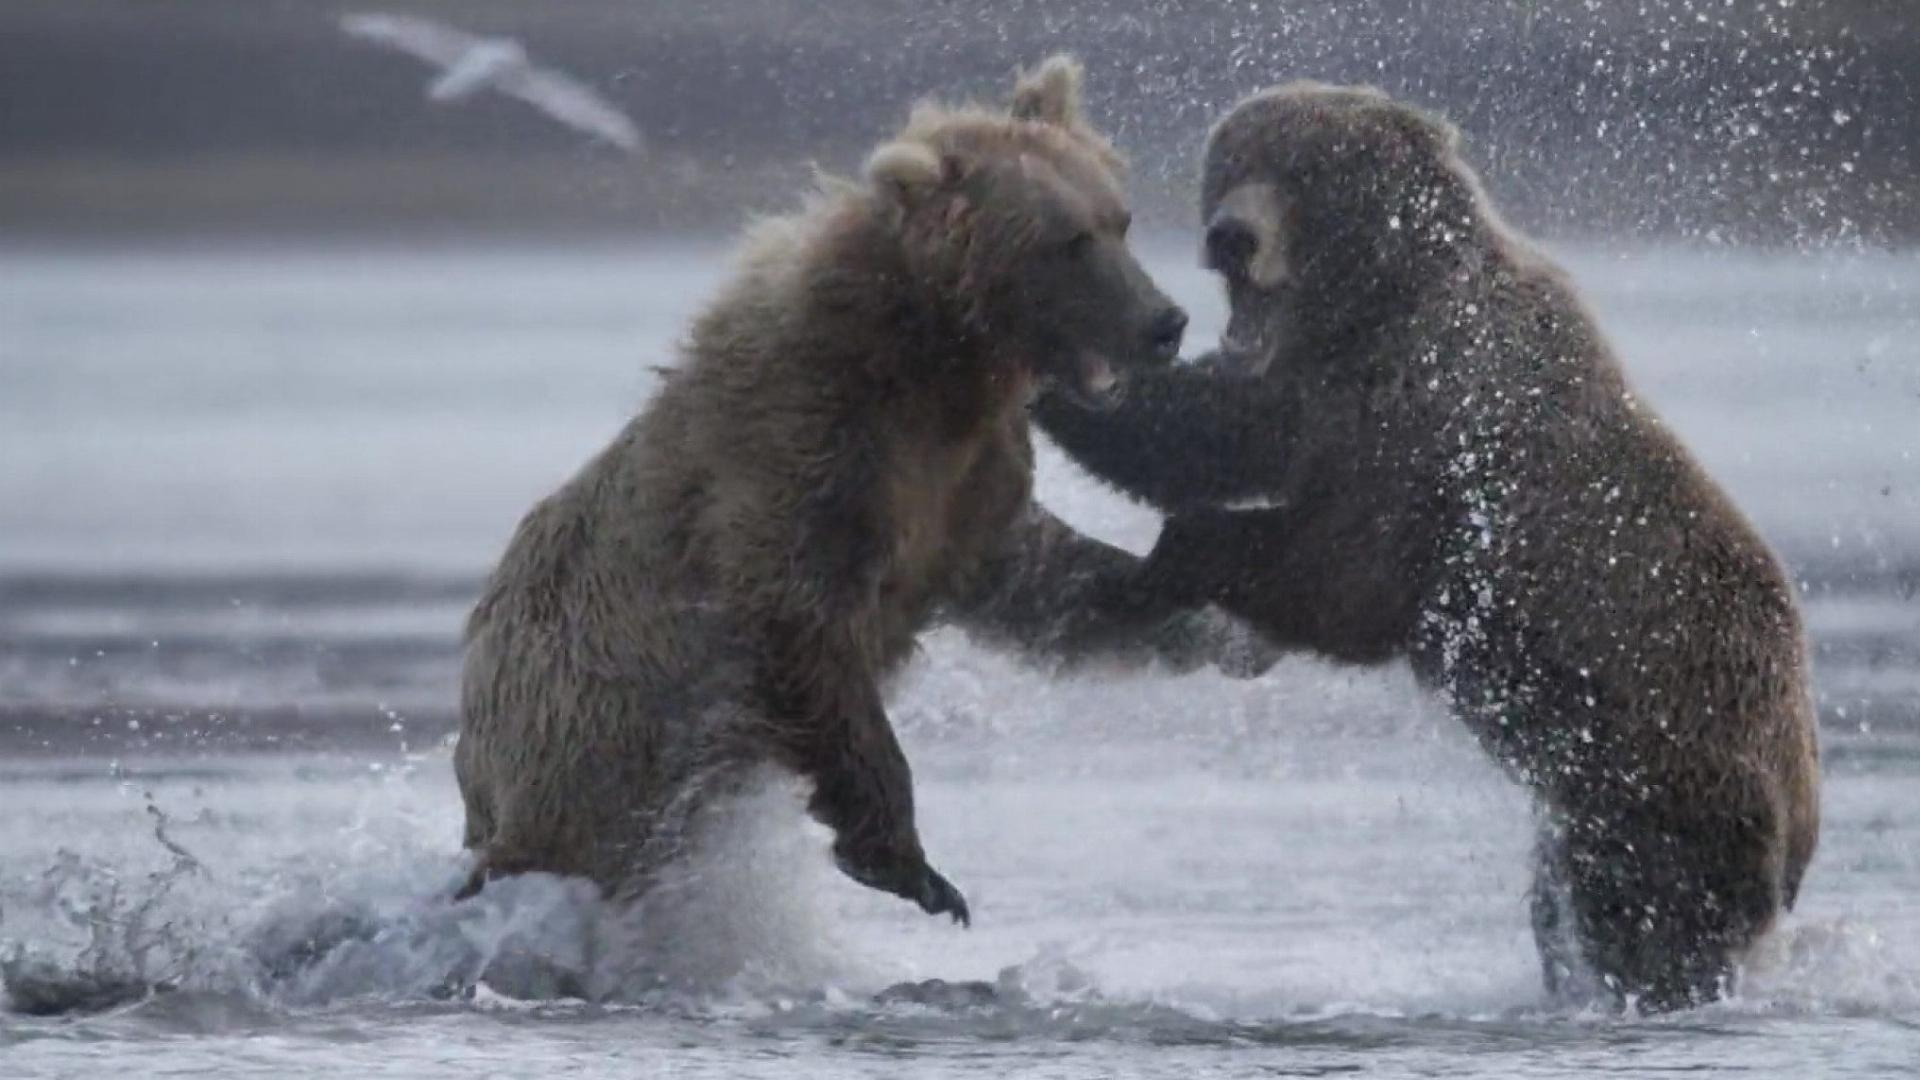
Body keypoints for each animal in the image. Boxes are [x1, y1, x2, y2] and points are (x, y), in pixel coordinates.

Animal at [454, 56, 1231, 926]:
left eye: (1118, 219)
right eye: (1067, 241)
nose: (1164, 323)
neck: (934, 365)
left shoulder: (963, 484)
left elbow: (1035, 568)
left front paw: (1209, 616)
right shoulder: (803, 457)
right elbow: (806, 628)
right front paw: (914, 868)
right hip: (583, 741)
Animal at [1034, 83, 1821, 1011]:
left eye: (1306, 170)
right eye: (1234, 157)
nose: (1231, 234)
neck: (1381, 301)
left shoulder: (1439, 414)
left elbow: (1351, 574)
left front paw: (1175, 548)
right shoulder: (1318, 388)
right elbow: (1210, 428)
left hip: (1665, 774)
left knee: (1646, 922)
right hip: (1590, 804)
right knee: (1561, 905)